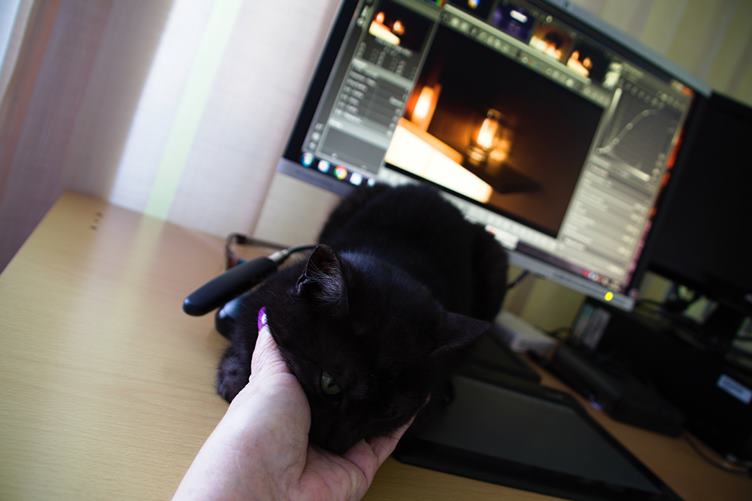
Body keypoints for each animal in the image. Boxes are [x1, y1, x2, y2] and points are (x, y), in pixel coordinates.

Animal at [216, 184, 509, 453]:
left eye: (388, 412)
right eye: (330, 384)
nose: (335, 445)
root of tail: (438, 195)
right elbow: (243, 343)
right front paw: (232, 379)